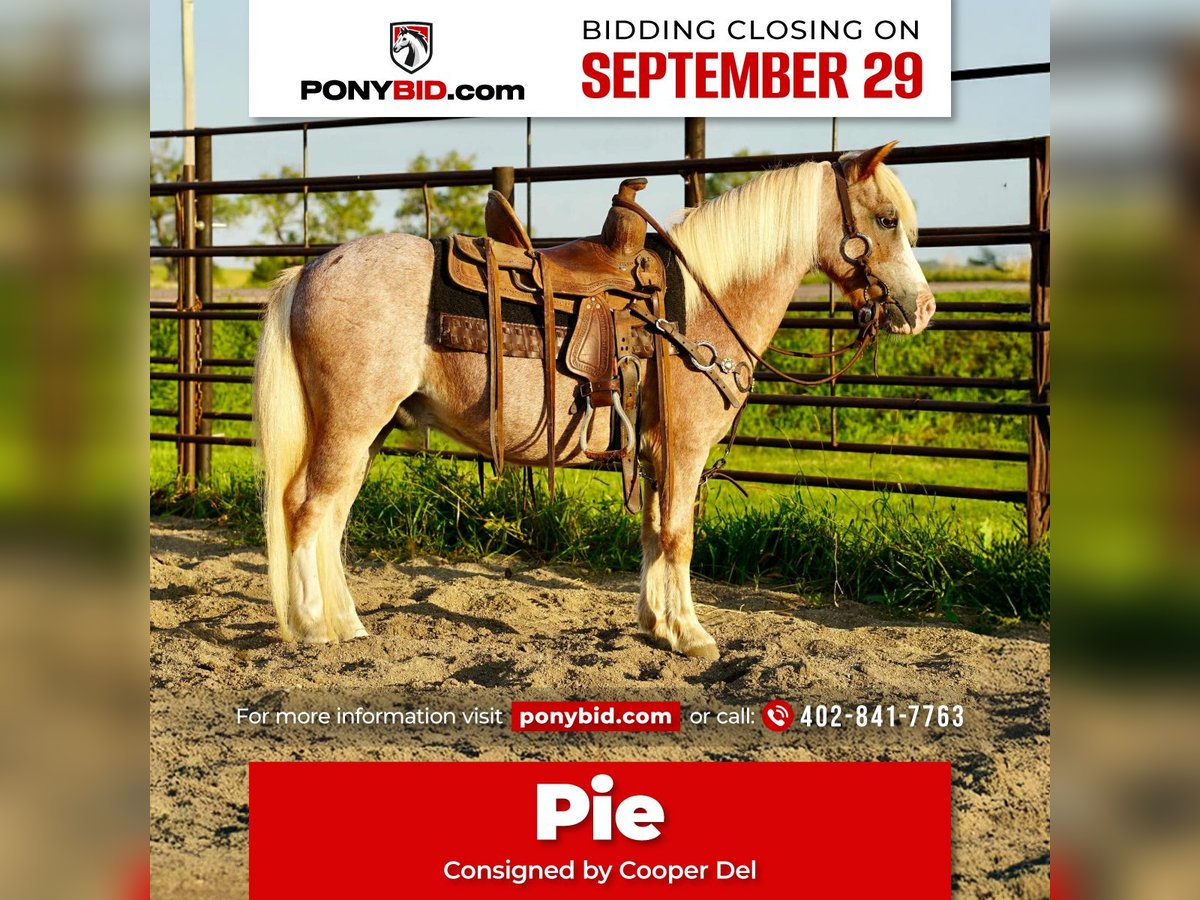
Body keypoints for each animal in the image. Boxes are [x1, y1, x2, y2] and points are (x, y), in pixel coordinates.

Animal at [252, 141, 935, 659]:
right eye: (886, 220)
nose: (923, 309)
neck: (698, 306)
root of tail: (308, 272)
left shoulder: (655, 454)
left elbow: (654, 533)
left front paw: (658, 626)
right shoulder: (684, 451)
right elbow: (680, 536)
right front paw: (692, 635)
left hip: (371, 431)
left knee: (333, 516)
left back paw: (347, 623)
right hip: (350, 425)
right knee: (308, 510)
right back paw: (313, 628)